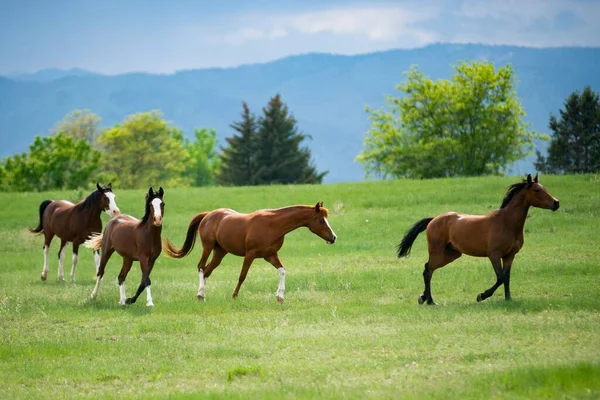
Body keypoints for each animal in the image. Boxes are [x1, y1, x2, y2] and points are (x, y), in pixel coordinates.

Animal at [164, 203, 338, 304]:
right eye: (321, 220)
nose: (333, 237)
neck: (273, 225)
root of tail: (207, 215)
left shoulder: (270, 255)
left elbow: (282, 271)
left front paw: (280, 297)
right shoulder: (251, 254)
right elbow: (242, 275)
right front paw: (234, 296)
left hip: (220, 252)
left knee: (207, 271)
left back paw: (202, 295)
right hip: (208, 247)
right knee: (201, 267)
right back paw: (200, 295)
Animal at [396, 173, 560, 304]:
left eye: (545, 188)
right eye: (537, 190)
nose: (556, 203)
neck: (507, 223)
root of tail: (433, 220)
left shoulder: (509, 256)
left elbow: (507, 278)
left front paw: (508, 299)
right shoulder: (494, 255)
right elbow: (500, 277)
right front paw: (482, 295)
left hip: (451, 254)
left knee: (427, 268)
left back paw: (423, 297)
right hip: (437, 252)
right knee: (428, 271)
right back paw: (430, 301)